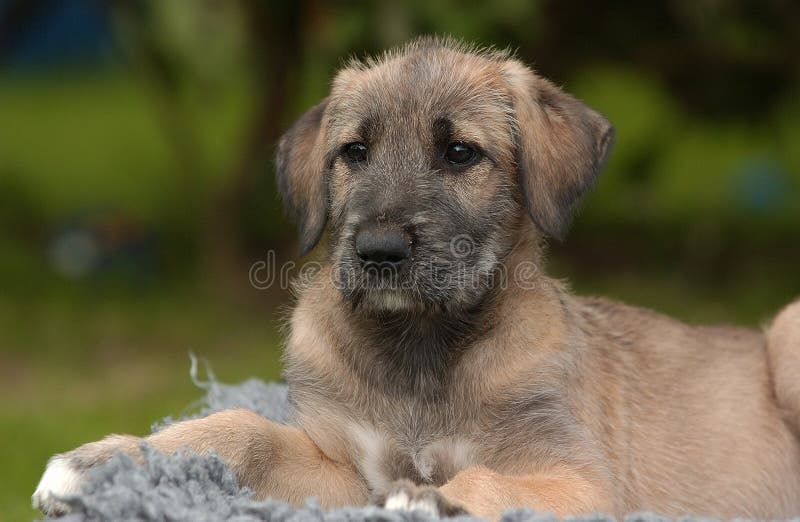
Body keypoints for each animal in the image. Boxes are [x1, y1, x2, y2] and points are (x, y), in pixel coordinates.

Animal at [32, 38, 800, 516]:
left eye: (461, 153)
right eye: (353, 152)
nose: (377, 250)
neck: (421, 352)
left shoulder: (580, 478)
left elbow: (490, 479)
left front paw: (439, 499)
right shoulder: (339, 468)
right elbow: (240, 428)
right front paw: (106, 461)